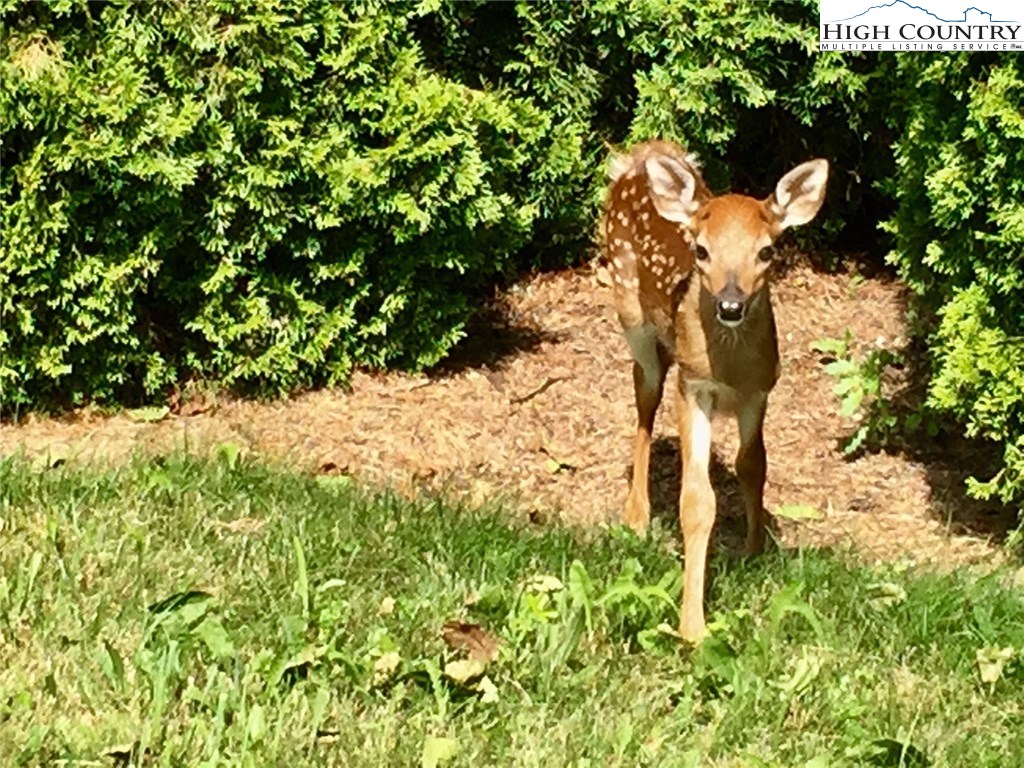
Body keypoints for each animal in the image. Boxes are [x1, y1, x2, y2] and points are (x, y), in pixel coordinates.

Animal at [602, 140, 829, 642]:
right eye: (701, 250)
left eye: (766, 251)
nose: (729, 305)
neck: (729, 369)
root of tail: (640, 155)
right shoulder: (693, 386)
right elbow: (697, 500)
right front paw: (693, 626)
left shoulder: (761, 389)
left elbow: (753, 466)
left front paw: (754, 550)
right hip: (630, 312)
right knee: (643, 396)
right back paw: (636, 514)